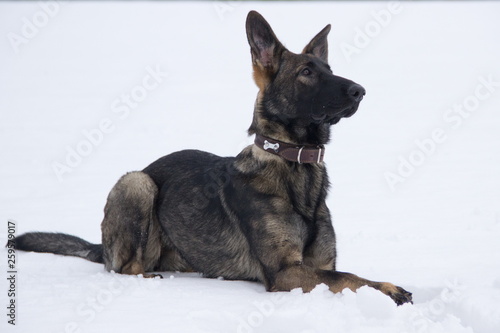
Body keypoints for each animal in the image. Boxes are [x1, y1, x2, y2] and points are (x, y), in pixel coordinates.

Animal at [15, 11, 414, 304]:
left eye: (329, 70)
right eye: (306, 73)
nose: (360, 91)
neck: (294, 163)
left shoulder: (318, 262)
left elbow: (340, 273)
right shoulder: (284, 272)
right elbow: (349, 277)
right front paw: (388, 289)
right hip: (136, 183)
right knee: (126, 266)